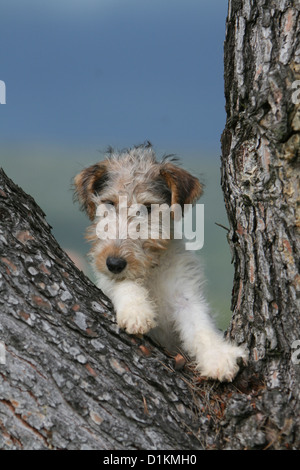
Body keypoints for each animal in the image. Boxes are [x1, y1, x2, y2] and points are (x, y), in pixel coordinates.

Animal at [74, 143, 247, 382]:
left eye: (147, 208)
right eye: (109, 203)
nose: (115, 263)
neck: (151, 268)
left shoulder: (185, 291)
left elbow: (200, 323)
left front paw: (218, 357)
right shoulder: (104, 277)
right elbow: (120, 283)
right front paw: (136, 311)